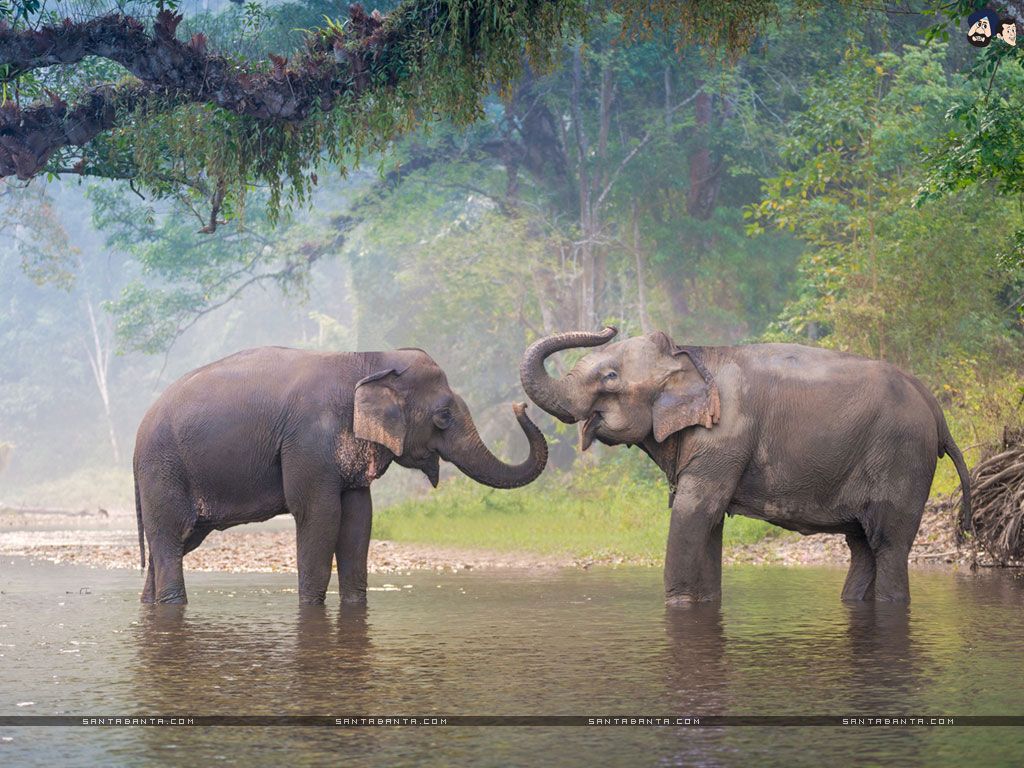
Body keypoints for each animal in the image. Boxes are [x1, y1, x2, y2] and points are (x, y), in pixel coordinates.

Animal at [134, 346, 547, 604]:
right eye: (443, 416)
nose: (520, 405)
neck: (368, 359)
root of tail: (139, 431)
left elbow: (358, 520)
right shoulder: (308, 441)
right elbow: (319, 515)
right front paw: (310, 608)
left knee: (176, 543)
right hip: (164, 469)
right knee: (170, 538)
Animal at [520, 327, 972, 604]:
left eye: (610, 377)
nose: (608, 325)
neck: (692, 354)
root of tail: (937, 411)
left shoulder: (725, 438)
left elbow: (694, 513)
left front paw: (678, 604)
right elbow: (709, 523)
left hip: (902, 457)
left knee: (888, 544)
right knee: (861, 545)